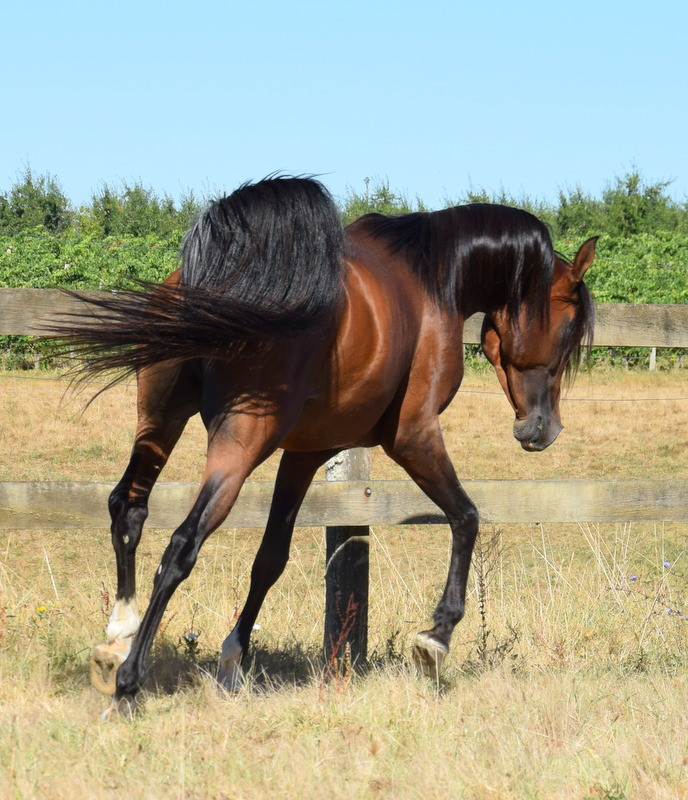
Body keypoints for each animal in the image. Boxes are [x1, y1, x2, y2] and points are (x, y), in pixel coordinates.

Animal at [52, 176, 596, 716]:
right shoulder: (413, 436)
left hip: (160, 421)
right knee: (182, 545)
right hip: (238, 442)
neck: (433, 281)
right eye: (569, 329)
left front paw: (232, 662)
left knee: (128, 507)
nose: (544, 429)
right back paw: (128, 684)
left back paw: (117, 638)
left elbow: (270, 559)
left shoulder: (304, 453)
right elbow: (466, 517)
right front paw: (436, 637)